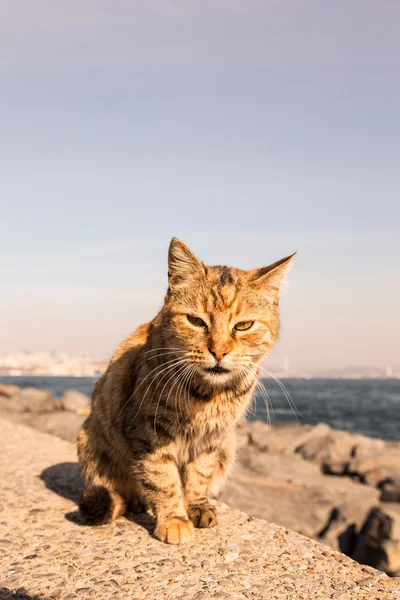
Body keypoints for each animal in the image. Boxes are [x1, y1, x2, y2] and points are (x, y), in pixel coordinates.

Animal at [76, 238, 294, 544]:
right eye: (196, 321)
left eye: (243, 325)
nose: (219, 351)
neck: (209, 395)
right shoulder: (148, 432)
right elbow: (162, 478)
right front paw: (174, 519)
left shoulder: (213, 438)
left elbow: (199, 474)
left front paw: (196, 507)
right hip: (91, 442)